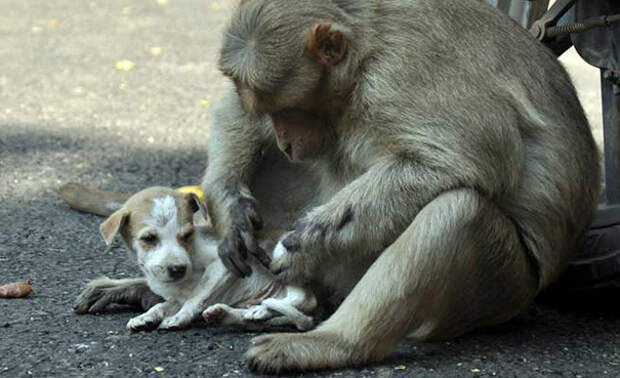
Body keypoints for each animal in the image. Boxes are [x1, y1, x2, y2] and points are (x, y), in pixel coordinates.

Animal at [200, 0, 600, 372]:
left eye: (289, 111)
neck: (364, 54)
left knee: (458, 213)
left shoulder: (399, 77)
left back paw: (337, 342)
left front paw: (307, 240)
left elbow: (470, 156)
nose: (285, 142)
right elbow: (235, 109)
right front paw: (229, 207)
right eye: (271, 112)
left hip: (501, 290)